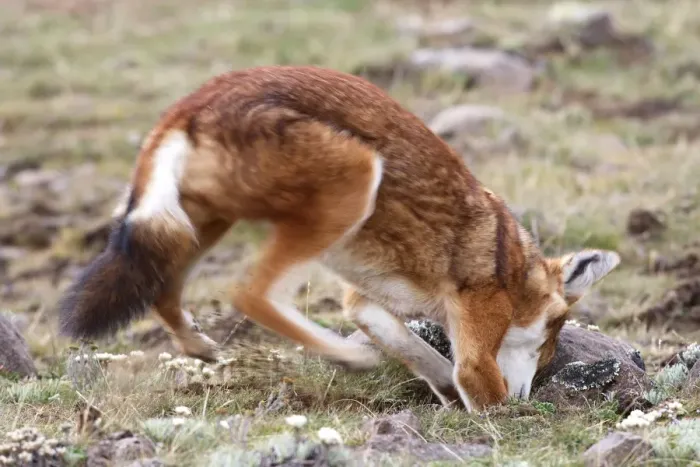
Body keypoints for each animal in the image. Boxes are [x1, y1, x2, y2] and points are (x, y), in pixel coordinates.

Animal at [56, 65, 620, 411]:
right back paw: (343, 358)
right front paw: (500, 418)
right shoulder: (478, 333)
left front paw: (439, 385)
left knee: (164, 293)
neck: (510, 264)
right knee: (250, 294)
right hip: (352, 183)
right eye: (551, 336)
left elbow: (418, 352)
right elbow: (476, 379)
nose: (531, 396)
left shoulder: (364, 301)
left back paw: (201, 345)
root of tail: (193, 102)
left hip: (200, 226)